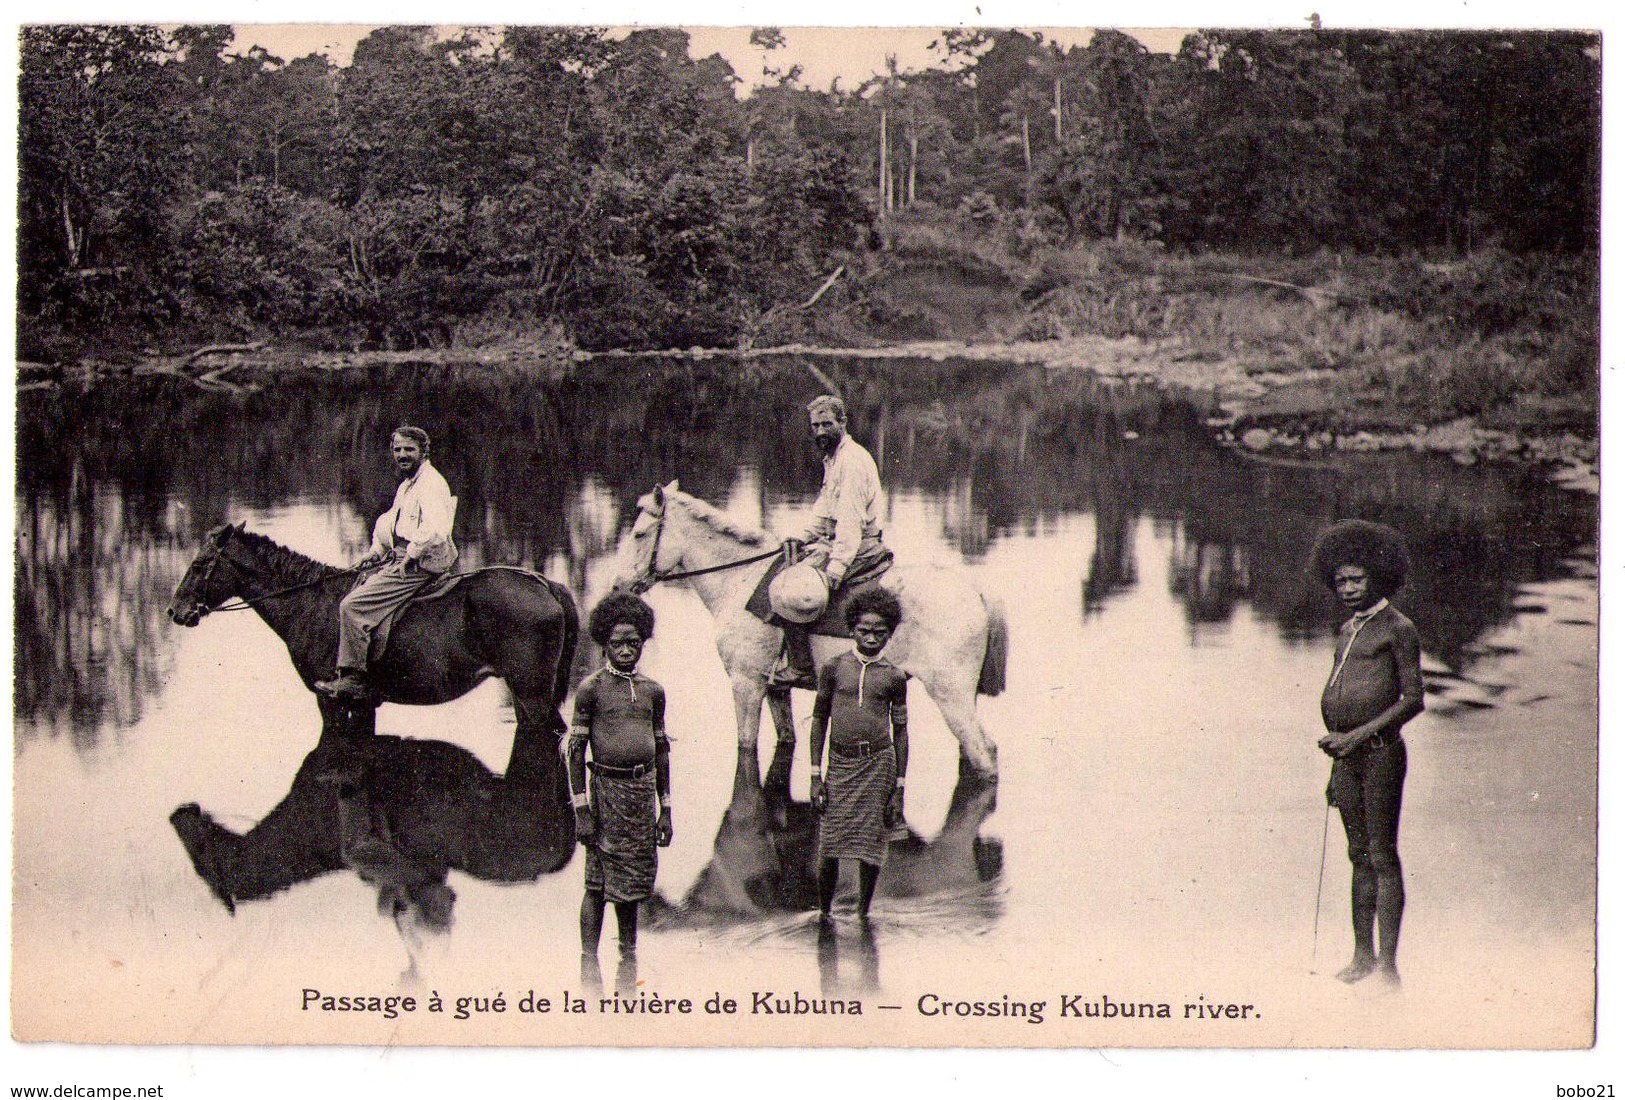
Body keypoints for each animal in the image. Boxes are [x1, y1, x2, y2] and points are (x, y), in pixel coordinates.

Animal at [164, 523, 581, 747]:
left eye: (199, 564)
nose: (174, 610)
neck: (311, 602)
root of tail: (546, 585)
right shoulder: (364, 703)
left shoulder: (329, 699)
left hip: (531, 692)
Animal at [614, 484, 1007, 779]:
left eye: (639, 533)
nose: (619, 586)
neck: (738, 580)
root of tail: (975, 592)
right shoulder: (775, 689)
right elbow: (785, 739)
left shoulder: (746, 684)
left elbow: (745, 748)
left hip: (951, 696)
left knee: (984, 752)